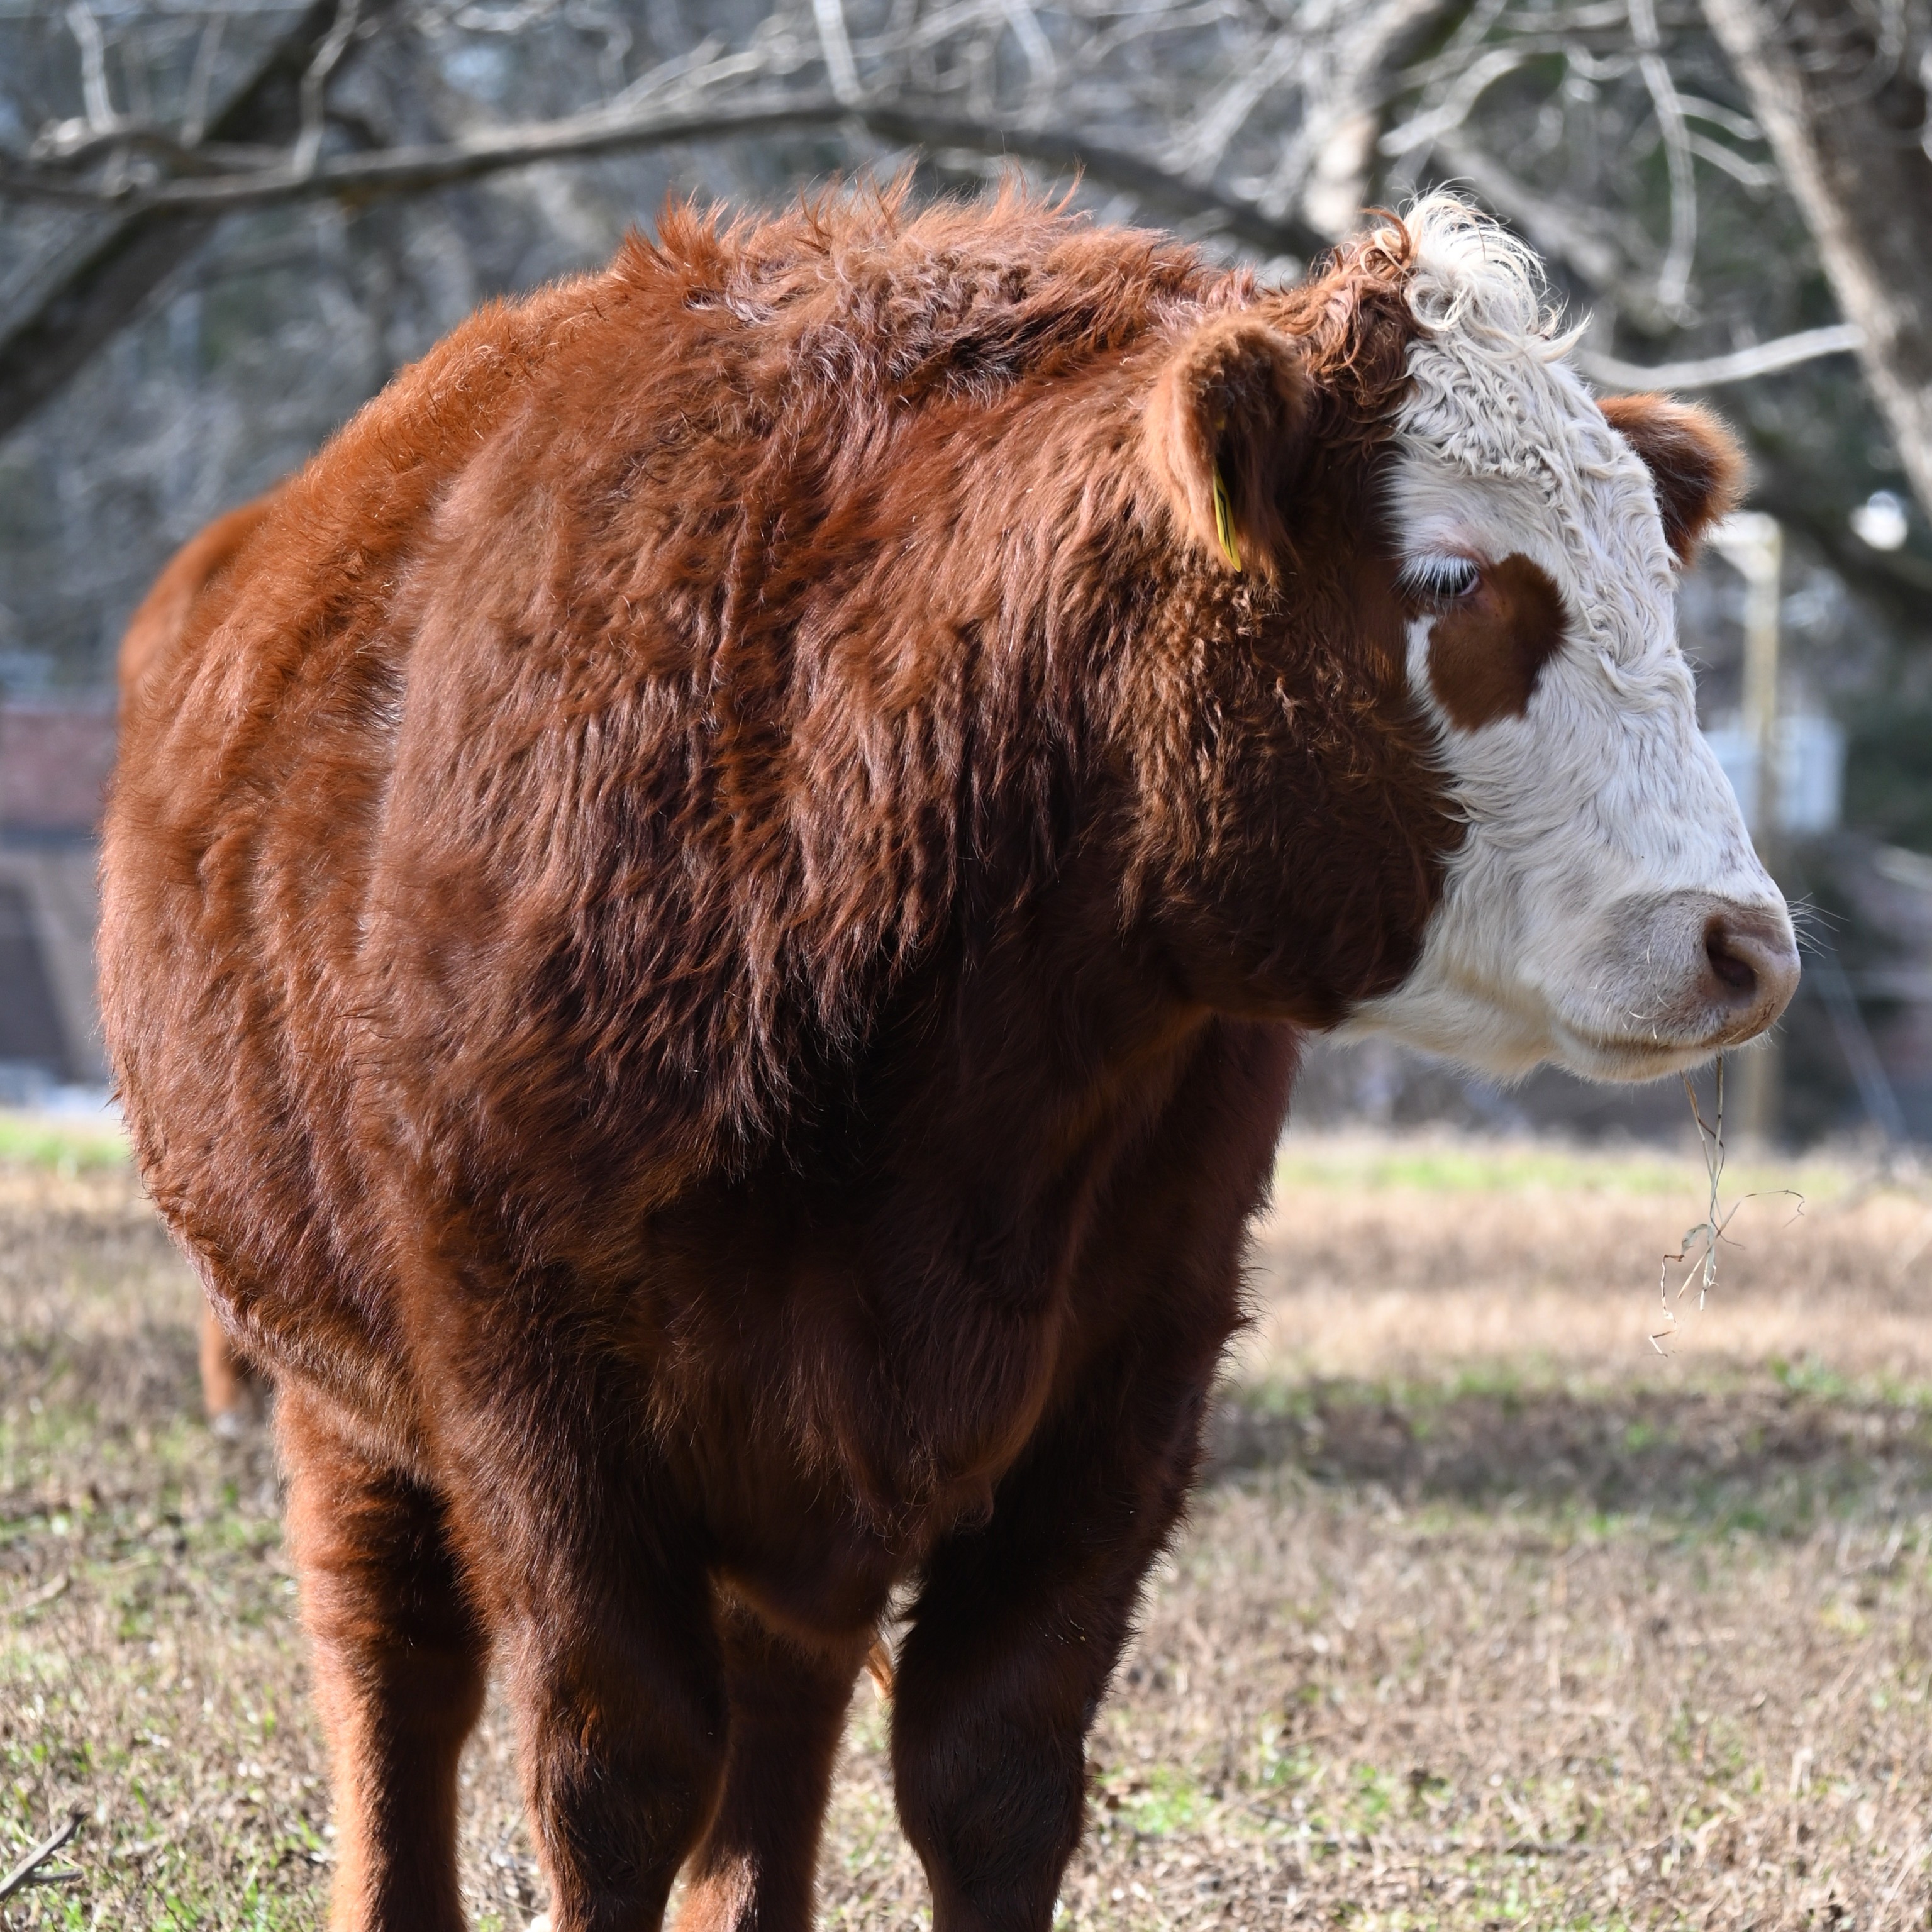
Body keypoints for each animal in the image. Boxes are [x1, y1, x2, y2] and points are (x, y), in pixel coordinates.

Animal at [102, 192, 1792, 1932]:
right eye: (1453, 576)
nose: (1739, 940)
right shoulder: (529, 1373)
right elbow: (613, 1771)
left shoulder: (1129, 1381)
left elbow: (990, 1775)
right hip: (340, 1385)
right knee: (396, 1668)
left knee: (777, 1723)